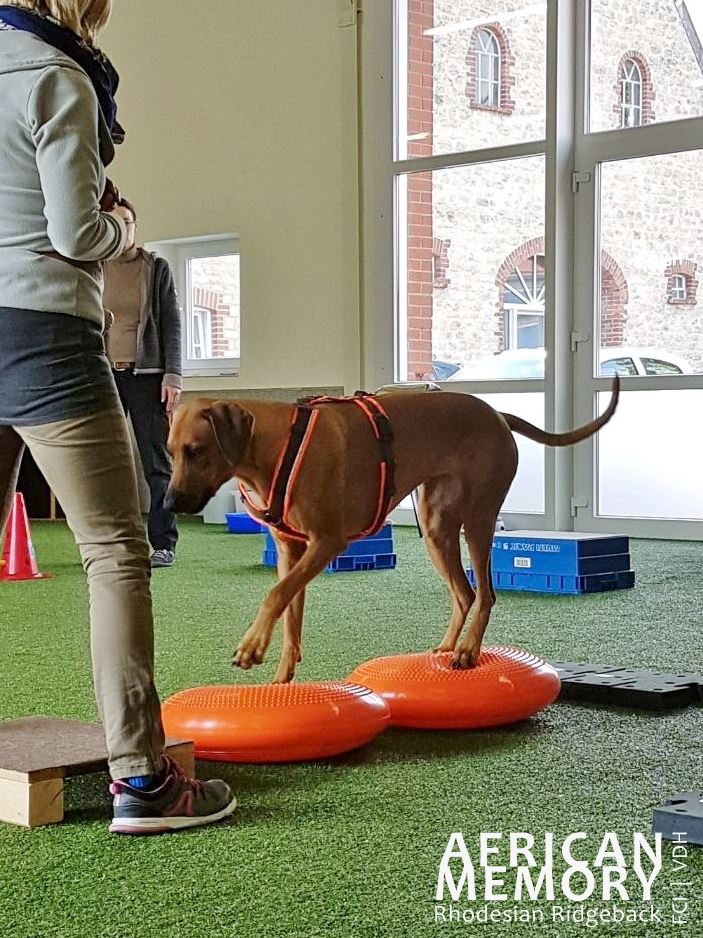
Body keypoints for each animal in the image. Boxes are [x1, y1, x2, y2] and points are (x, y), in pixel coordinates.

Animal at [165, 382, 619, 683]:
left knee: (486, 593)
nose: (168, 504)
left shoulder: (327, 542)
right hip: (437, 526)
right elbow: (290, 612)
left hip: (478, 519)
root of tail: (496, 415)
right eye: (171, 453)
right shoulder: (291, 551)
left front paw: (251, 646)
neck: (279, 445)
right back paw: (447, 647)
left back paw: (468, 650)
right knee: (464, 592)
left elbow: (275, 594)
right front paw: (281, 677)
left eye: (196, 451)